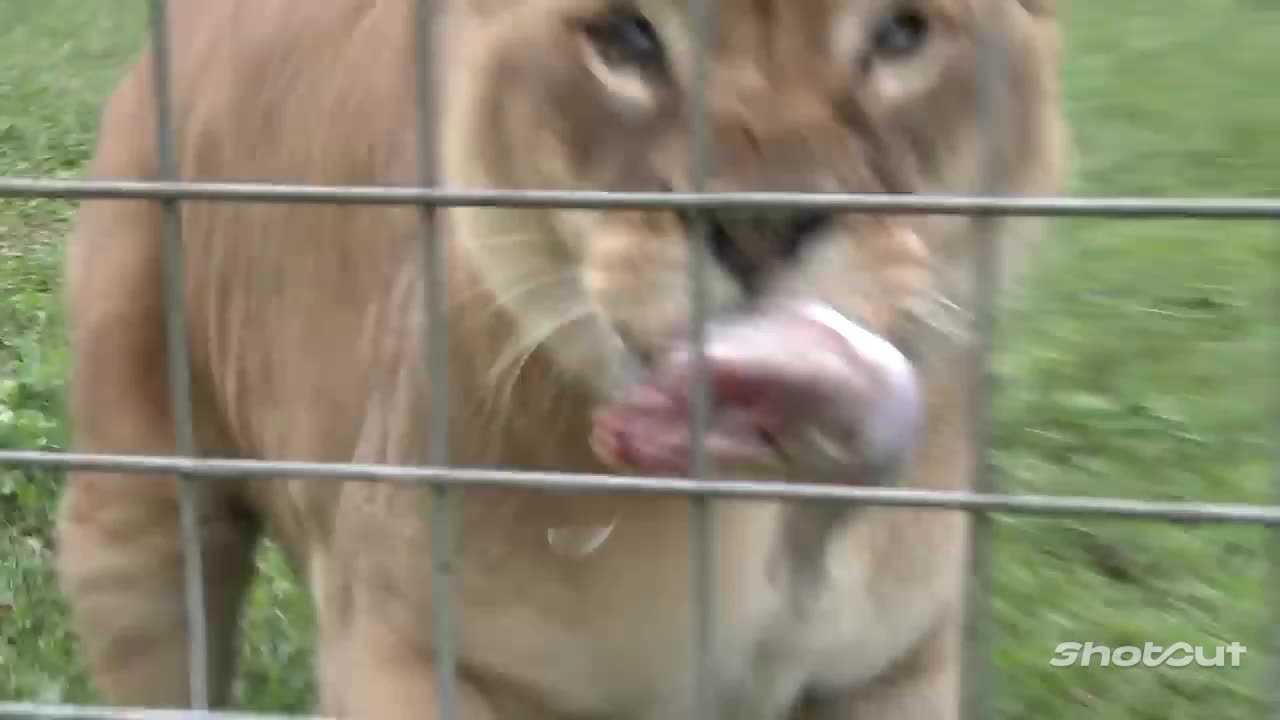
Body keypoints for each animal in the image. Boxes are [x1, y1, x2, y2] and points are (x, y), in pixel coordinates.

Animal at [52, 0, 1070, 712]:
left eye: (902, 33)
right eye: (624, 37)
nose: (757, 225)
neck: (754, 514)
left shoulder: (894, 670)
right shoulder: (411, 650)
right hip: (135, 525)